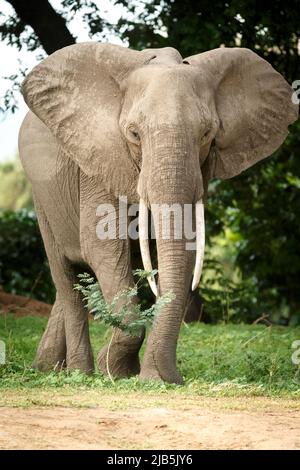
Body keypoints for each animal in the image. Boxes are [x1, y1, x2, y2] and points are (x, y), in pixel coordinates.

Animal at [18, 42, 298, 384]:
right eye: (134, 134)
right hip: (42, 198)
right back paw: (79, 372)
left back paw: (47, 367)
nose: (173, 378)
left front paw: (144, 375)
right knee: (67, 278)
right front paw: (117, 370)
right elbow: (102, 247)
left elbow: (184, 250)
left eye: (207, 134)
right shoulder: (98, 162)